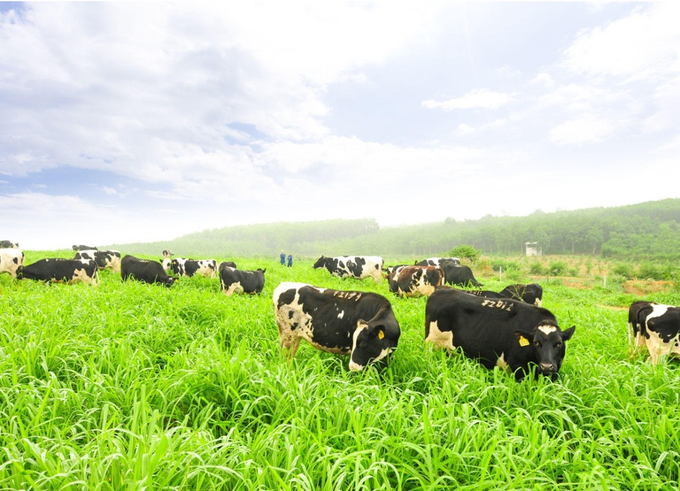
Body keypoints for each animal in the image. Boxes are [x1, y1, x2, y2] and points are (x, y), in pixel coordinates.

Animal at [270, 282, 398, 370]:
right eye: (355, 341)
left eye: (363, 343)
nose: (352, 367)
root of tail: (283, 285)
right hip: (287, 335)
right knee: (284, 356)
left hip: (295, 337)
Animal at [424, 288, 572, 380]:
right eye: (536, 342)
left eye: (559, 343)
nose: (546, 366)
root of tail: (440, 291)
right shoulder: (517, 369)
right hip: (432, 345)